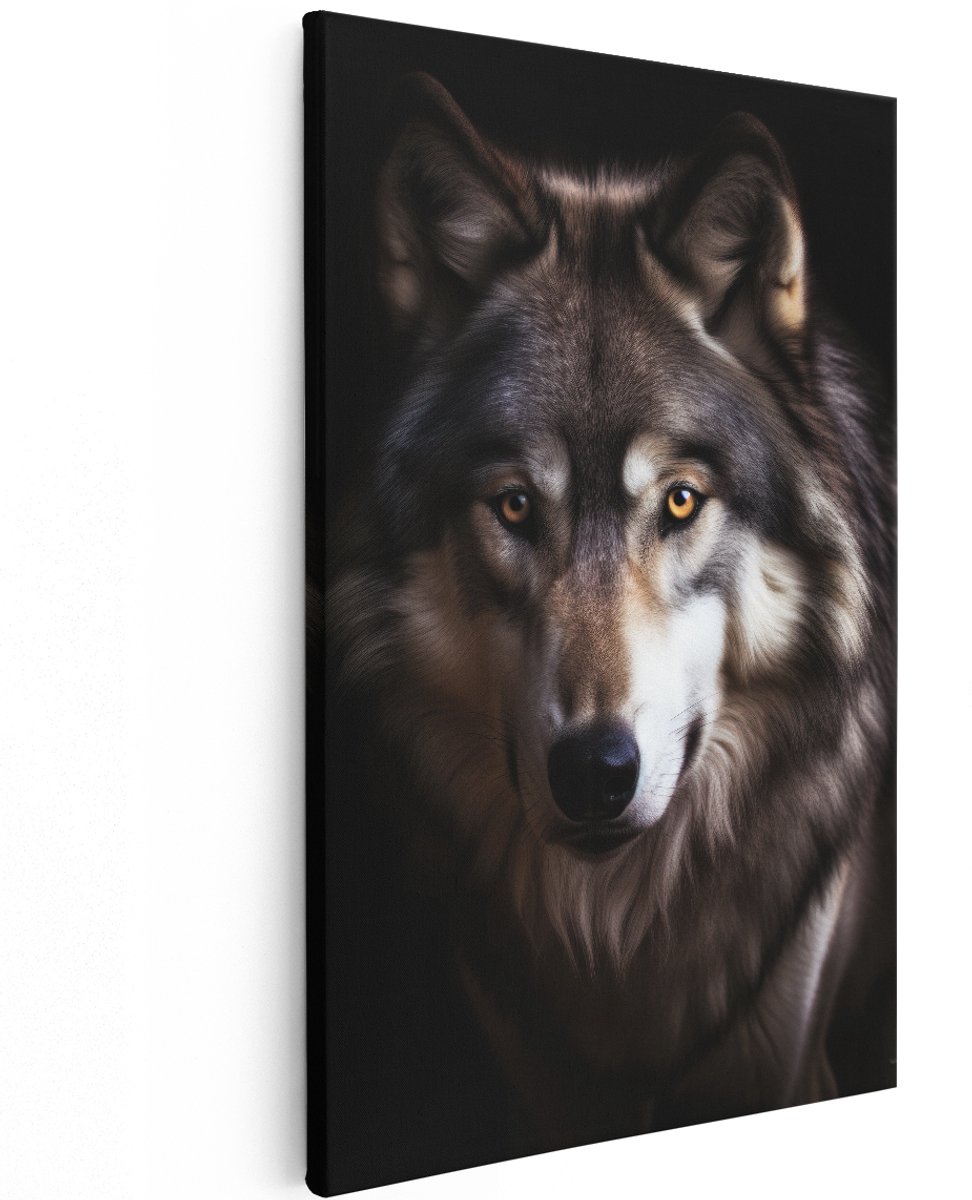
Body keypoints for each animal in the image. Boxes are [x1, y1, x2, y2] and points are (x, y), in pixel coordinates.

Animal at [324, 73, 895, 1156]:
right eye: (514, 506)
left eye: (678, 501)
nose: (593, 771)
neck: (619, 936)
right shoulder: (539, 1078)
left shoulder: (779, 1045)